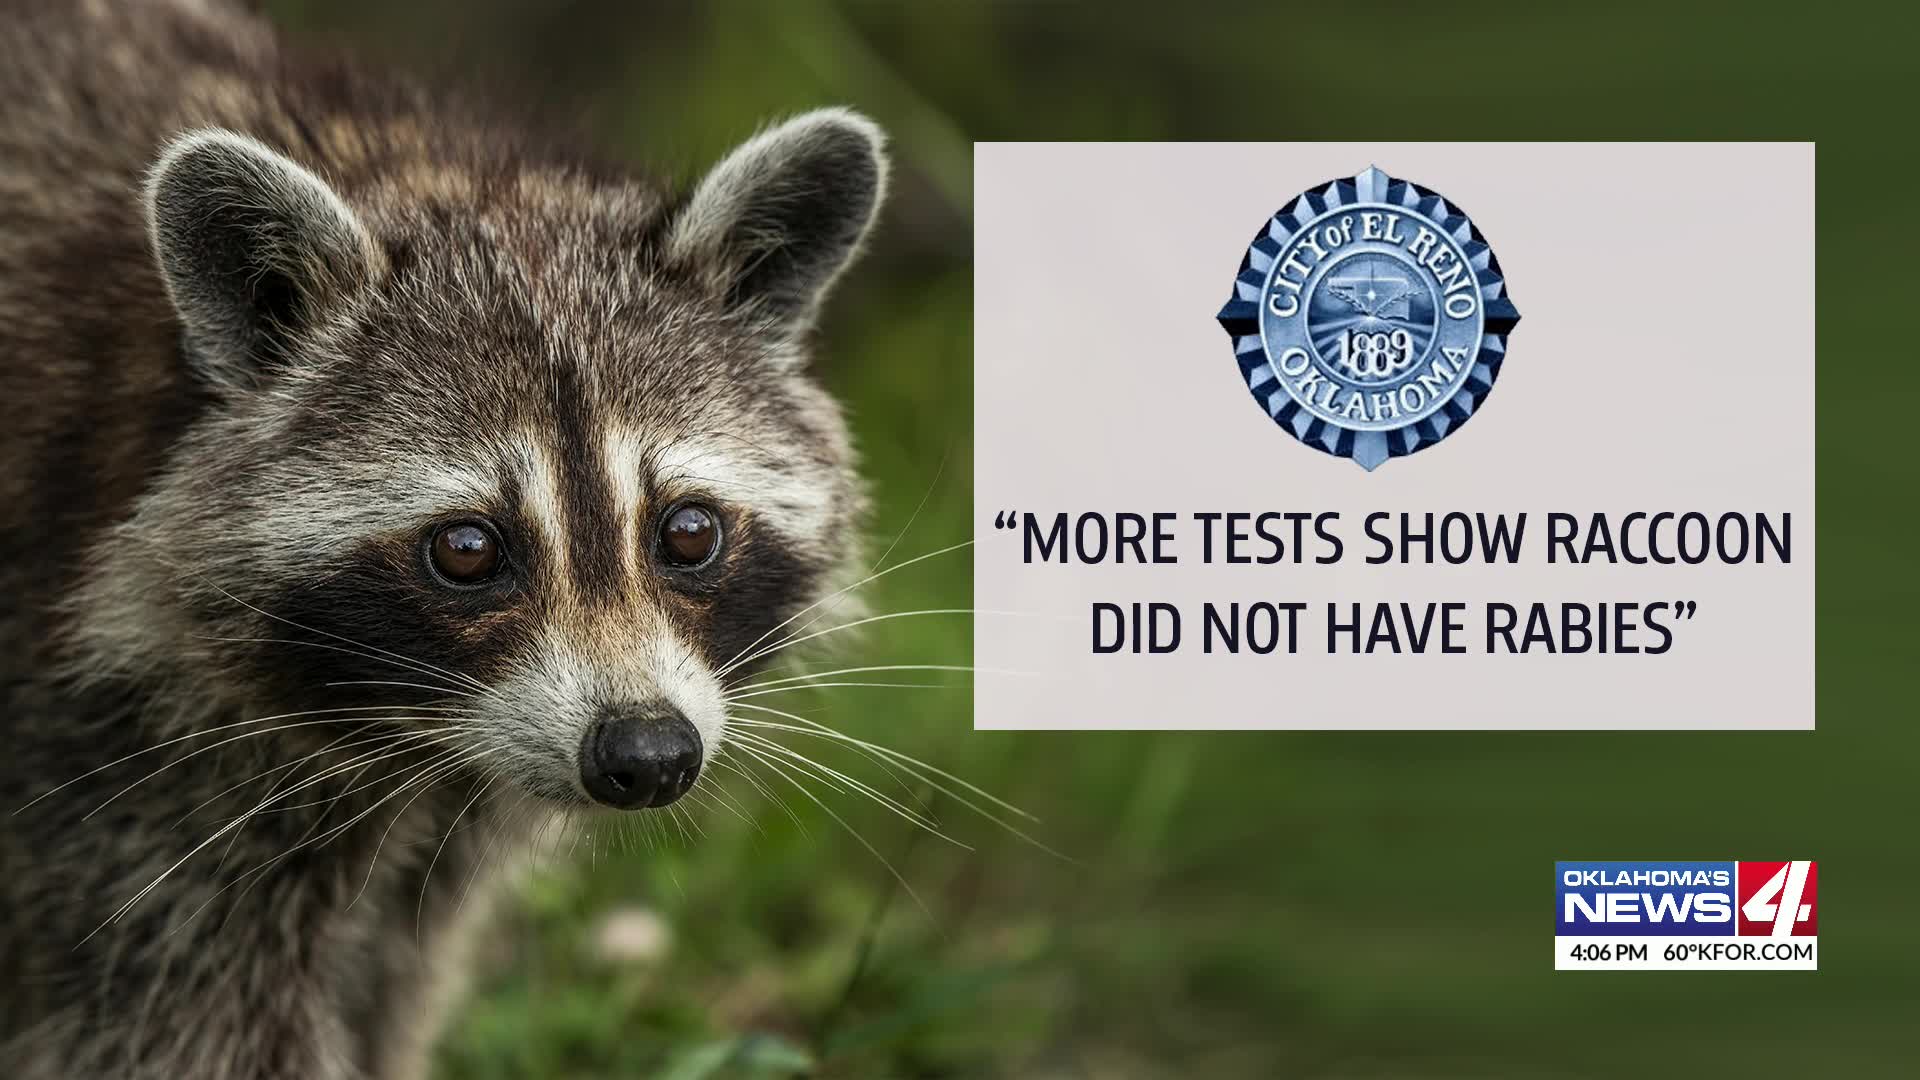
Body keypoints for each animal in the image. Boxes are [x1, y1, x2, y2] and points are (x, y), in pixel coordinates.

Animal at [0, 1, 884, 1076]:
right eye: (468, 550)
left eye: (687, 532)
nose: (645, 754)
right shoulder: (109, 758)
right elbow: (182, 1028)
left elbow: (399, 980)